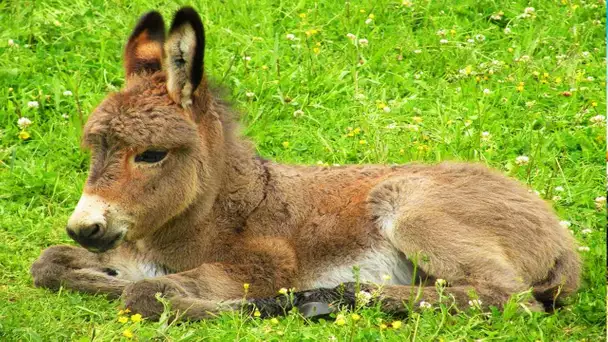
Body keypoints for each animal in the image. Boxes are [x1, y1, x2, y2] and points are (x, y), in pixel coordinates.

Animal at [30, 6, 580, 320]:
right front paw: (99, 275)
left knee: (508, 298)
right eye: (94, 149)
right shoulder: (127, 249)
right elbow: (48, 263)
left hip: (416, 213)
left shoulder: (266, 263)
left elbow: (147, 294)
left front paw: (244, 306)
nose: (84, 227)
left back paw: (326, 300)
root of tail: (559, 234)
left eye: (151, 155)